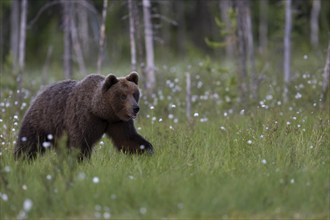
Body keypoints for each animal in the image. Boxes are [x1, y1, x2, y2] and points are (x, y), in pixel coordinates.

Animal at [14, 72, 153, 160]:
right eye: (123, 96)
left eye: (134, 93)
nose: (135, 108)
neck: (100, 111)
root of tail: (39, 94)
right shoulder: (82, 117)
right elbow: (80, 143)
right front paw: (81, 161)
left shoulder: (117, 121)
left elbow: (127, 139)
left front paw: (148, 150)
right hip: (42, 121)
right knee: (29, 143)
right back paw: (20, 159)